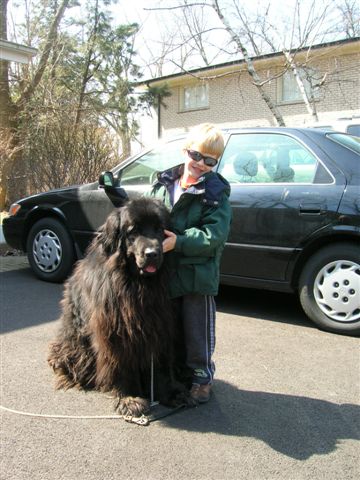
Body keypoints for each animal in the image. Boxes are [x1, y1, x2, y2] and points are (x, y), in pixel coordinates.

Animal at [48, 197, 188, 418]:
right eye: (133, 231)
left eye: (159, 229)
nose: (152, 254)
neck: (137, 285)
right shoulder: (115, 330)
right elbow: (122, 363)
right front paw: (129, 398)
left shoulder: (161, 324)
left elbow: (161, 363)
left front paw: (170, 392)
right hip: (76, 343)